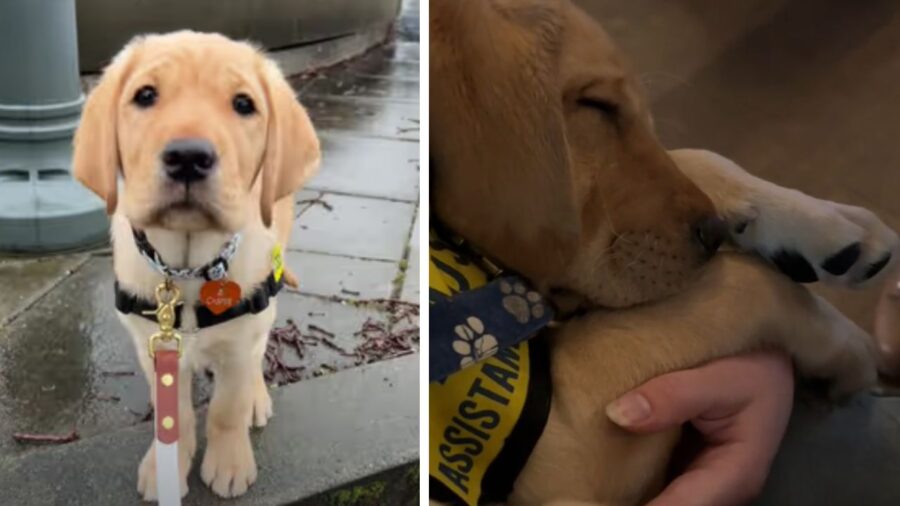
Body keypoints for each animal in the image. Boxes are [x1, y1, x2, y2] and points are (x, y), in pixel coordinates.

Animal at [74, 32, 320, 502]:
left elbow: (227, 406)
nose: (188, 156)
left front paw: (229, 462)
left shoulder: (242, 336)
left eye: (243, 104)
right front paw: (167, 464)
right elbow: (177, 414)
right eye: (145, 95)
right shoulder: (152, 345)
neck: (184, 271)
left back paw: (257, 397)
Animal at [432, 0, 896, 506]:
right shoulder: (560, 452)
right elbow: (744, 282)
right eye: (595, 105)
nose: (712, 232)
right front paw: (851, 348)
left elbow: (691, 155)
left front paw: (824, 222)